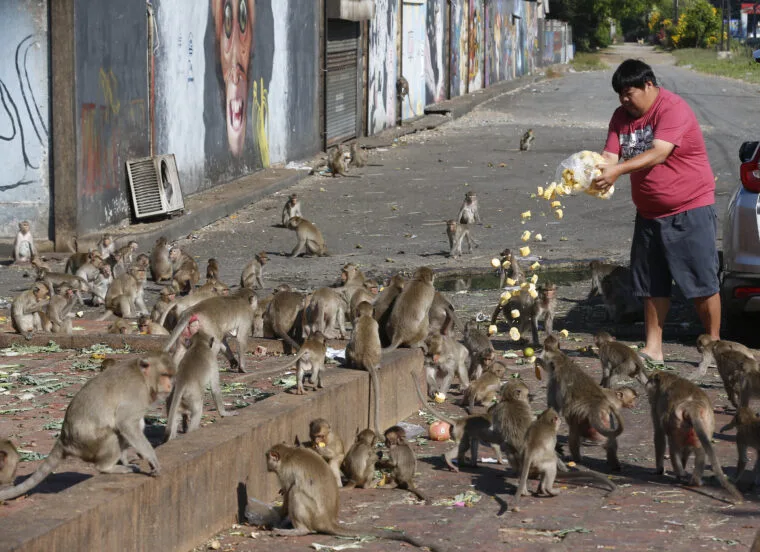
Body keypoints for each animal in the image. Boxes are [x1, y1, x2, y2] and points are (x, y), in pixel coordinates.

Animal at [0, 354, 175, 500]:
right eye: (165, 375)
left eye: (170, 376)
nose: (170, 386)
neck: (143, 376)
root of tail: (64, 439)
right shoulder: (136, 393)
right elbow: (125, 422)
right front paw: (153, 460)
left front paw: (129, 459)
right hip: (89, 444)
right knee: (114, 434)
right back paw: (107, 468)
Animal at [648, 368, 744, 502]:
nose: (646, 385)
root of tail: (692, 407)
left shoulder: (655, 403)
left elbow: (659, 434)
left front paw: (659, 470)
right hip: (704, 423)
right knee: (700, 449)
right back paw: (695, 481)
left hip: (677, 424)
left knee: (674, 446)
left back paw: (681, 474)